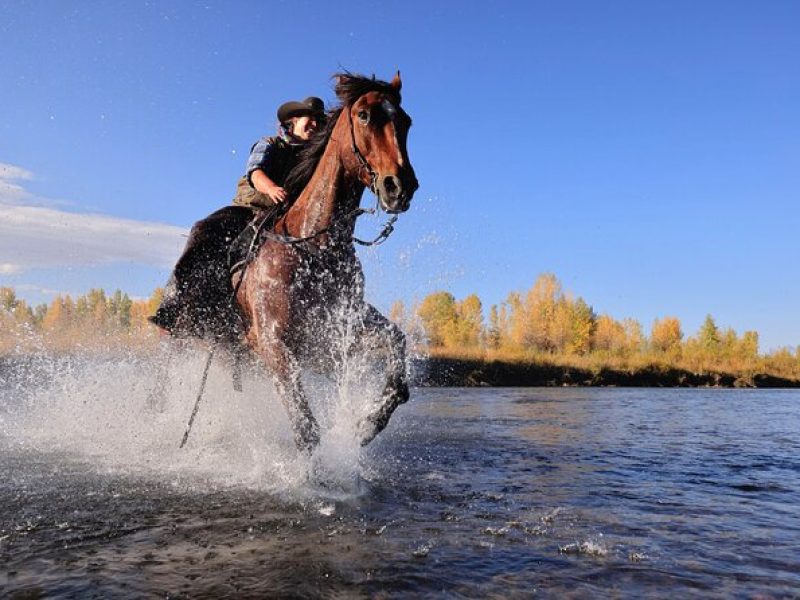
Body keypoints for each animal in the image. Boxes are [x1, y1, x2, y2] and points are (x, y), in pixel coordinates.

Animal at [231, 72, 418, 452]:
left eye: (406, 121)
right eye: (364, 115)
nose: (400, 187)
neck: (315, 247)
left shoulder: (338, 335)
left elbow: (397, 352)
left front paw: (367, 425)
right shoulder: (273, 343)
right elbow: (306, 430)